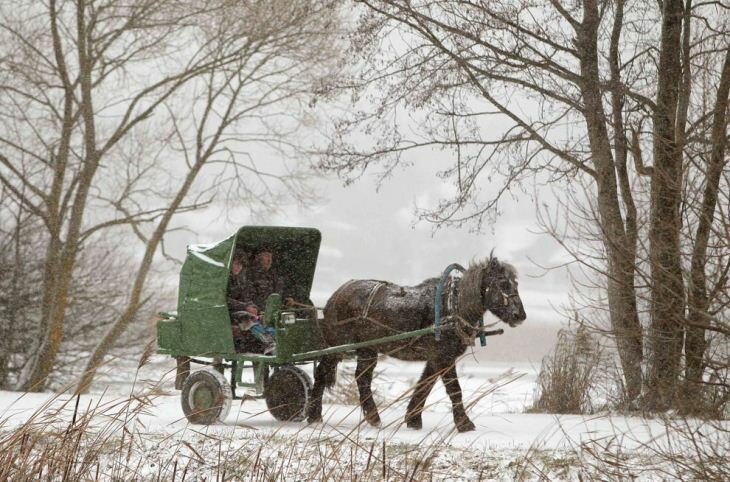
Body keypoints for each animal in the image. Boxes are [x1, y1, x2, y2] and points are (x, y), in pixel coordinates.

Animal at [304, 254, 528, 432]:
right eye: (503, 284)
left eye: (516, 284)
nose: (520, 315)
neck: (452, 307)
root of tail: (338, 293)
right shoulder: (444, 357)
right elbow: (454, 390)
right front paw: (464, 424)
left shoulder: (436, 359)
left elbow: (424, 386)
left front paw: (413, 419)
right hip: (338, 346)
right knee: (322, 373)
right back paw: (314, 415)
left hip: (367, 348)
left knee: (362, 378)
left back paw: (373, 417)